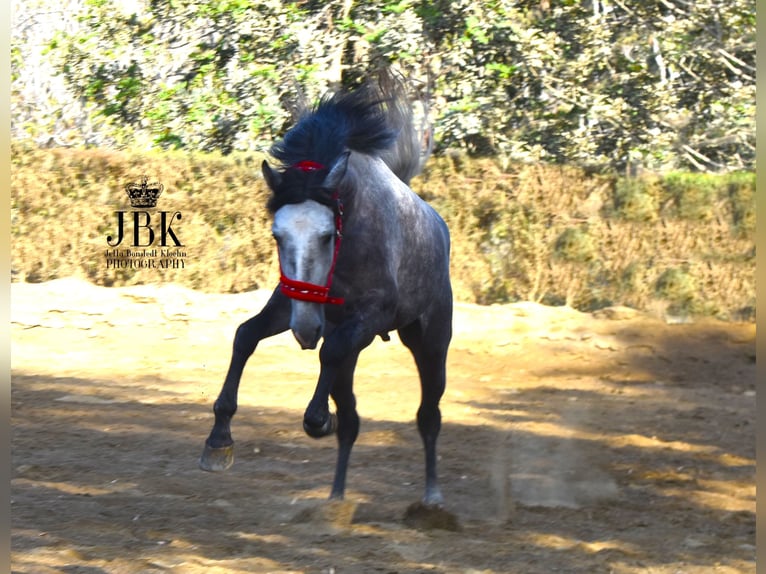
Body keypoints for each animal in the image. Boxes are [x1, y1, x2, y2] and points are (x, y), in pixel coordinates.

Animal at [200, 72, 456, 508]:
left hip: (430, 340)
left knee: (428, 416)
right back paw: (336, 497)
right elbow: (245, 335)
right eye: (277, 235)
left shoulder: (370, 315)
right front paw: (219, 439)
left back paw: (433, 496)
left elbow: (329, 353)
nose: (306, 331)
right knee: (351, 420)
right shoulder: (291, 303)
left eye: (326, 235)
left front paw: (318, 419)